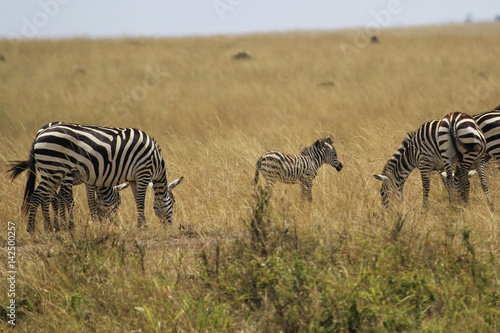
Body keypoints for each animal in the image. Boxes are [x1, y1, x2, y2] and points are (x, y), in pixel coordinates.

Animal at [7, 120, 184, 232]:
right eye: (174, 202)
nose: (169, 226)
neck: (156, 161)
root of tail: (40, 134)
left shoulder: (134, 178)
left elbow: (136, 200)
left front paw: (141, 224)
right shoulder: (143, 172)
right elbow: (140, 199)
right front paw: (143, 225)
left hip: (50, 170)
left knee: (48, 197)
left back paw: (50, 227)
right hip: (56, 169)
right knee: (40, 196)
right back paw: (33, 229)